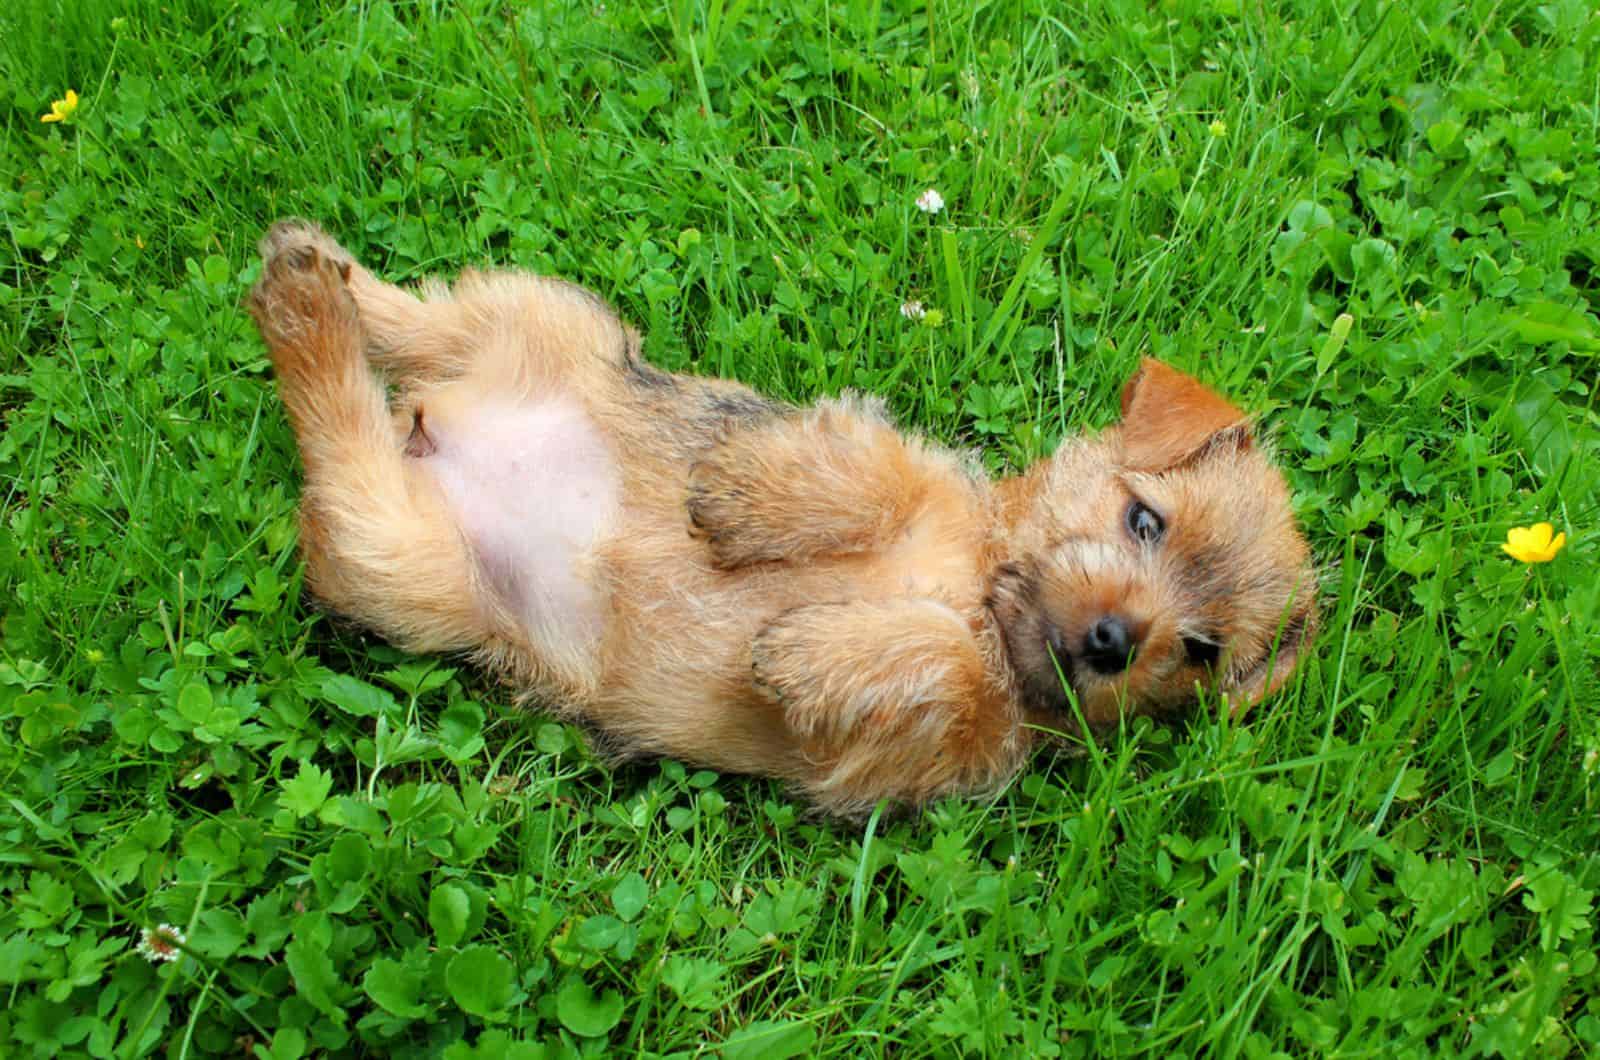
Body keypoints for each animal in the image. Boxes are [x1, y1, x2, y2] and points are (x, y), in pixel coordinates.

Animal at [246, 222, 1312, 819]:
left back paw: (305, 300)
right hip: (551, 324)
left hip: (400, 560)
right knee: (422, 318)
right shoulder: (909, 467)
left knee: (344, 438)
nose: (1113, 641)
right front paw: (743, 498)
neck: (978, 589)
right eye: (1143, 520)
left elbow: (947, 664)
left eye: (1201, 652)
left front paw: (808, 650)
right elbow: (873, 476)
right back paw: (315, 269)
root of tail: (433, 421)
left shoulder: (898, 762)